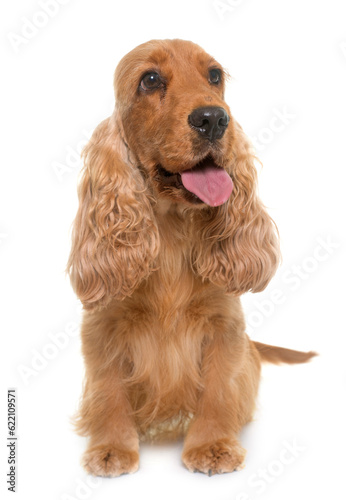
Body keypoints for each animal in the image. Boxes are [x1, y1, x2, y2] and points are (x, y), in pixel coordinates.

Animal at [67, 39, 316, 476]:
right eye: (150, 80)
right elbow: (108, 390)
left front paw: (212, 445)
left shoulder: (223, 325)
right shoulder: (103, 327)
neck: (170, 232)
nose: (214, 119)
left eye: (214, 75)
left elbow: (218, 389)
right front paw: (111, 448)